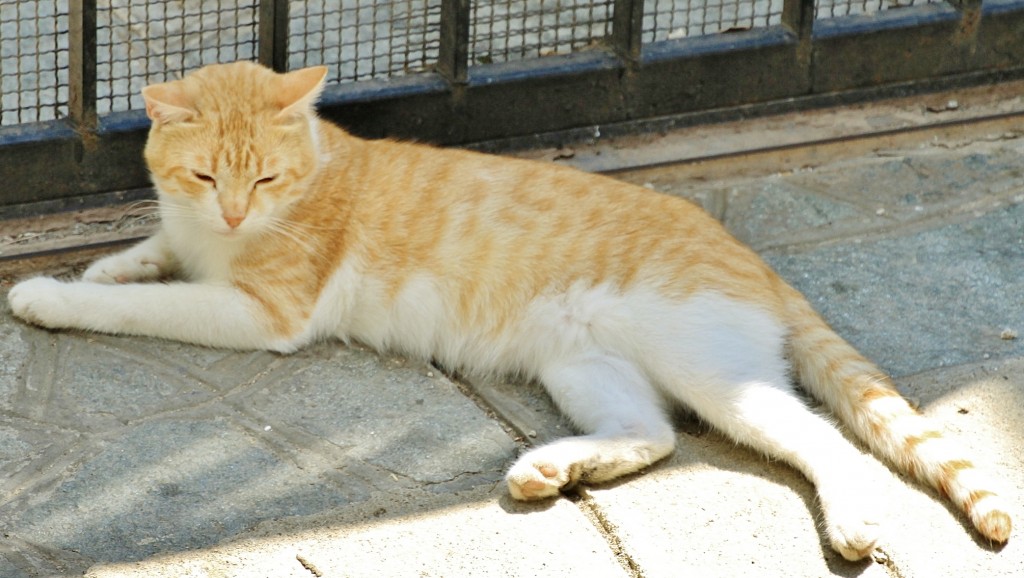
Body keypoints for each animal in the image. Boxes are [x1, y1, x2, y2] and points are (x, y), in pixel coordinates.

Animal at [8, 59, 1011, 561]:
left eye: (266, 180)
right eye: (206, 175)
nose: (232, 213)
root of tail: (751, 259)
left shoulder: (264, 314)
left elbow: (152, 305)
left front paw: (53, 296)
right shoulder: (188, 238)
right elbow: (146, 256)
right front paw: (109, 264)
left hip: (713, 373)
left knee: (820, 439)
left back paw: (852, 522)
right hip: (582, 363)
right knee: (653, 434)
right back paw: (553, 468)